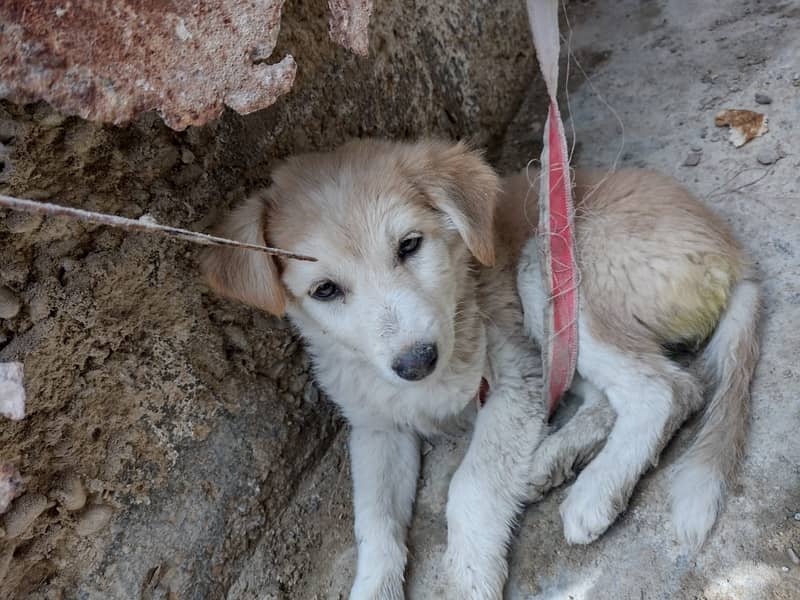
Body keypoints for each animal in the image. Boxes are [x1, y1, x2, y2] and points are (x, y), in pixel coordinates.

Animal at [198, 139, 756, 600]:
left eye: (409, 245)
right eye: (325, 290)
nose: (417, 362)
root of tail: (730, 250)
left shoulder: (512, 381)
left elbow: (471, 488)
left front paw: (469, 578)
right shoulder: (377, 428)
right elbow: (375, 525)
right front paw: (375, 586)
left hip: (545, 266)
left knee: (666, 389)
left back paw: (595, 490)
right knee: (609, 396)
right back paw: (547, 462)